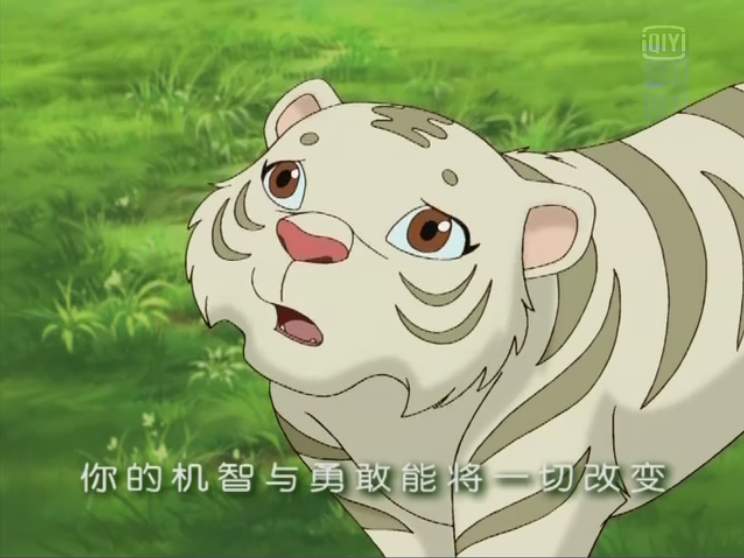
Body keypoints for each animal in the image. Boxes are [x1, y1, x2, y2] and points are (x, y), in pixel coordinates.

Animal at [185, 78, 744, 557]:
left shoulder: (529, 504)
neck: (385, 403)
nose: (308, 241)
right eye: (284, 180)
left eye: (430, 233)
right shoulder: (384, 506)